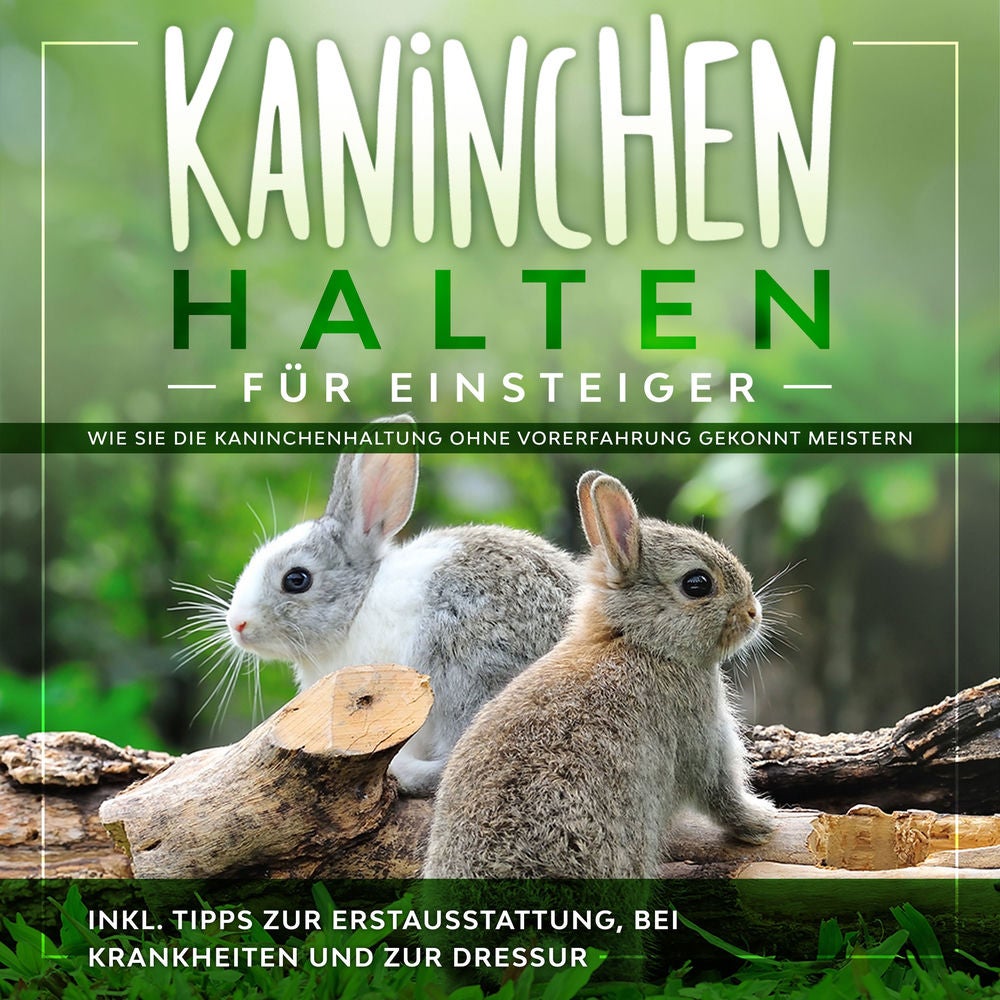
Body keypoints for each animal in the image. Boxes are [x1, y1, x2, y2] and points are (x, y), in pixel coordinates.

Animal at [423, 469, 778, 877]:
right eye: (697, 584)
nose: (753, 612)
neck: (637, 640)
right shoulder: (701, 733)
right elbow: (720, 791)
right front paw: (762, 821)